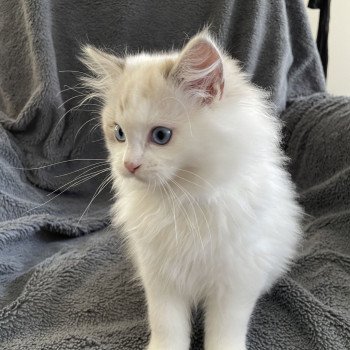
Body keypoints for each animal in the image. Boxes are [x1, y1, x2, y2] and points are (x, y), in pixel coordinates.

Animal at [80, 31, 302, 348]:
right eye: (119, 134)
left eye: (161, 136)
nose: (129, 165)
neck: (181, 199)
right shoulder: (160, 278)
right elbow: (166, 326)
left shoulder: (236, 280)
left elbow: (224, 332)